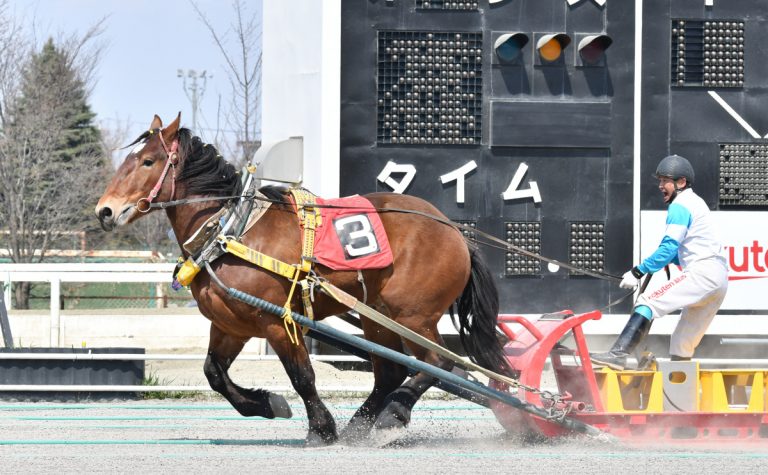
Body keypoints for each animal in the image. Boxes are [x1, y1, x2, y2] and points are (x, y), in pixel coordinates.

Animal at [95, 114, 509, 446]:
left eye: (148, 161)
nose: (105, 210)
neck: (232, 232)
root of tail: (456, 231)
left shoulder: (279, 322)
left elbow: (302, 376)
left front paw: (321, 428)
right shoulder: (230, 325)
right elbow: (214, 373)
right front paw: (266, 403)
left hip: (413, 315)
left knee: (437, 362)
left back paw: (392, 416)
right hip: (377, 317)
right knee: (392, 371)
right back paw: (362, 423)